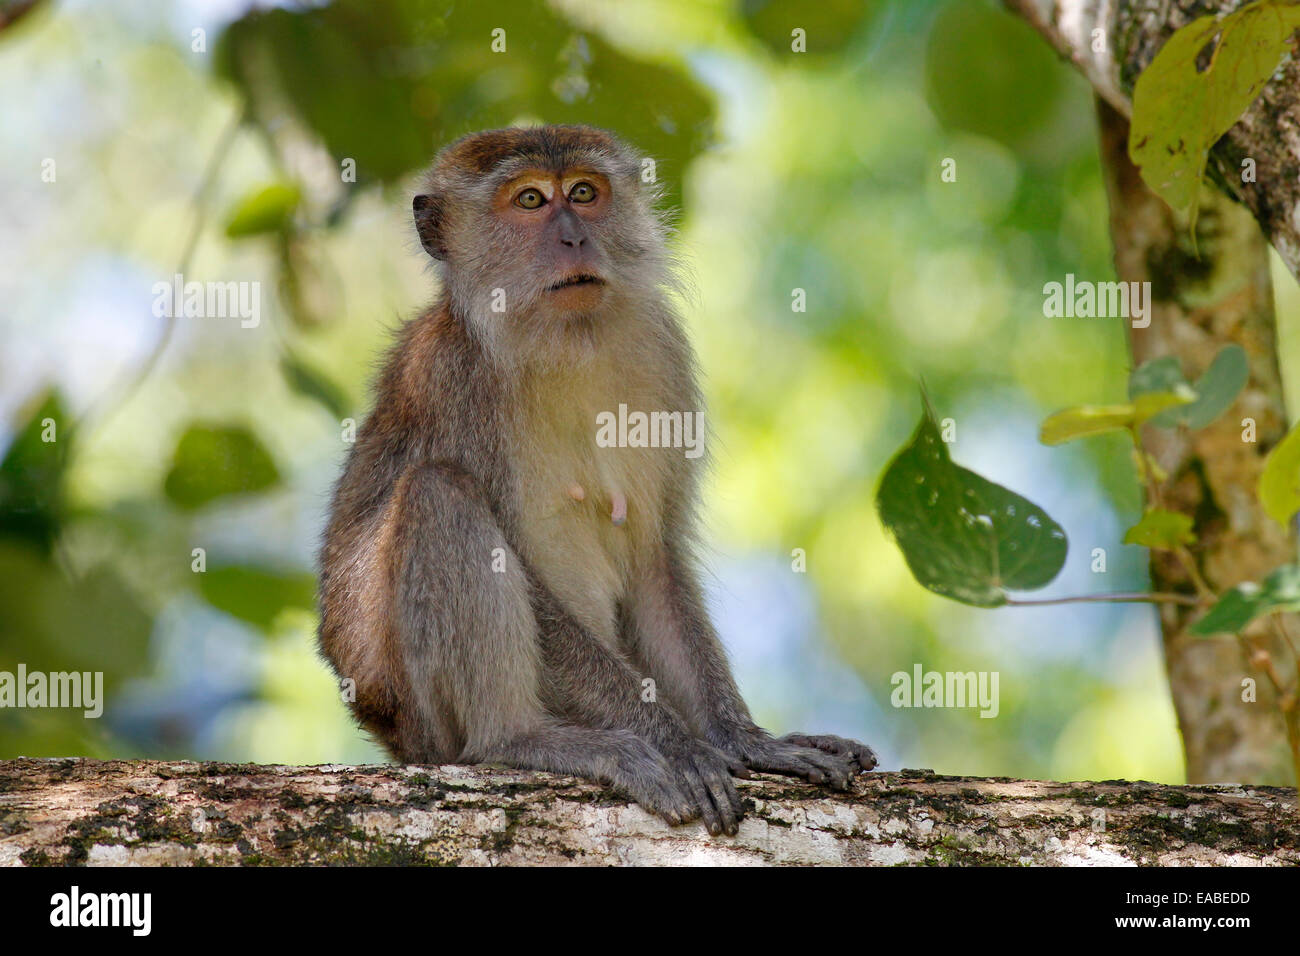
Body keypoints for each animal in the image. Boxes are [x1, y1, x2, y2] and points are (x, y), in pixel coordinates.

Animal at [317, 124, 877, 836]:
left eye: (584, 193)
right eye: (530, 200)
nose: (573, 239)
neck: (564, 341)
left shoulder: (663, 355)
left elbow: (654, 561)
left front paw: (743, 738)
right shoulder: (453, 380)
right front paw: (677, 743)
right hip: (422, 715)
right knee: (437, 493)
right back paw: (518, 739)